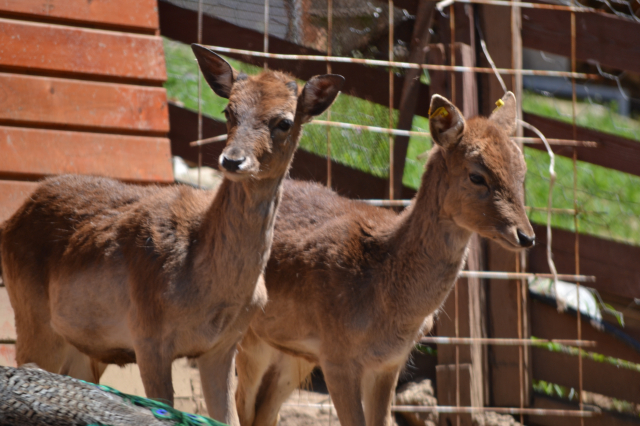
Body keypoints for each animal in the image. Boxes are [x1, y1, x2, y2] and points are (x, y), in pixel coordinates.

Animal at [0, 44, 344, 426]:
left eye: (284, 121)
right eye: (229, 110)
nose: (232, 160)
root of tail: (13, 216)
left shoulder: (224, 346)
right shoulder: (148, 335)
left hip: (82, 347)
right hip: (31, 317)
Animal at [235, 91, 536, 424]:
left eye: (522, 172)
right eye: (476, 175)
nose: (527, 236)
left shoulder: (389, 363)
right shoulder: (337, 357)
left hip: (292, 353)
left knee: (265, 409)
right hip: (246, 333)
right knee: (240, 401)